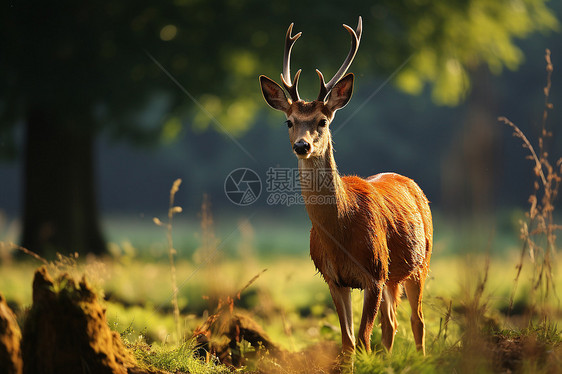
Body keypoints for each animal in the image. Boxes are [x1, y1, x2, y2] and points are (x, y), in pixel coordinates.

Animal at [258, 16, 434, 356]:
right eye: (289, 121)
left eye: (322, 121)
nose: (302, 145)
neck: (341, 231)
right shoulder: (333, 278)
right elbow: (348, 342)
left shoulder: (373, 274)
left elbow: (364, 339)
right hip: (393, 275)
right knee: (391, 324)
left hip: (420, 261)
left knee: (417, 320)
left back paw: (421, 358)